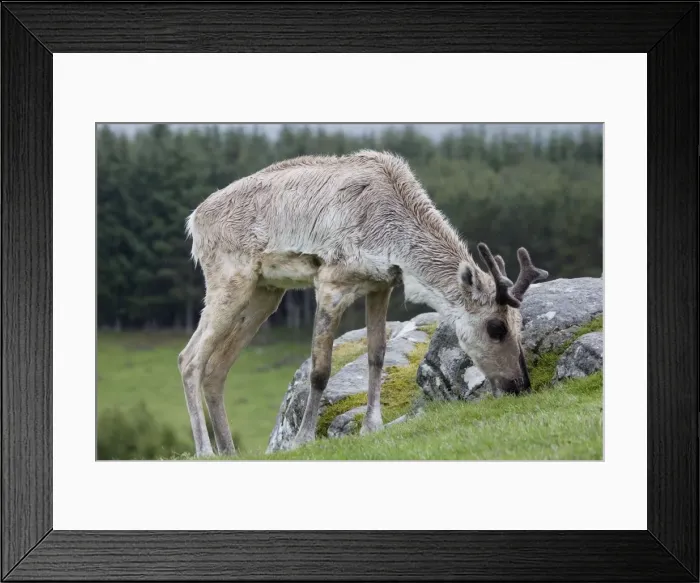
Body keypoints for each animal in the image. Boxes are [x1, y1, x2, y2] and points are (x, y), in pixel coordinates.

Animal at [178, 149, 548, 457]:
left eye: (520, 324)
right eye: (496, 327)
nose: (520, 385)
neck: (393, 233)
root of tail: (194, 219)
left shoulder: (380, 285)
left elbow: (376, 356)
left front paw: (372, 426)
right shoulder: (330, 284)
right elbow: (320, 369)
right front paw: (302, 439)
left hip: (265, 291)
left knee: (216, 367)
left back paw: (229, 450)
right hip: (230, 279)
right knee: (189, 358)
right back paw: (205, 450)